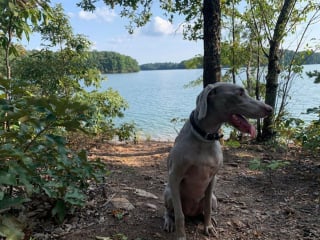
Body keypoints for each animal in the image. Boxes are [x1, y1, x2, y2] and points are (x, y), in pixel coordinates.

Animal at [164, 82, 272, 238]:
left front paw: (208, 227)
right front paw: (181, 236)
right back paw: (169, 221)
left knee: (204, 209)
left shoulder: (212, 178)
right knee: (170, 211)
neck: (204, 138)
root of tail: (191, 212)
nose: (270, 109)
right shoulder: (175, 176)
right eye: (240, 93)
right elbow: (179, 215)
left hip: (214, 198)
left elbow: (207, 207)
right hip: (168, 193)